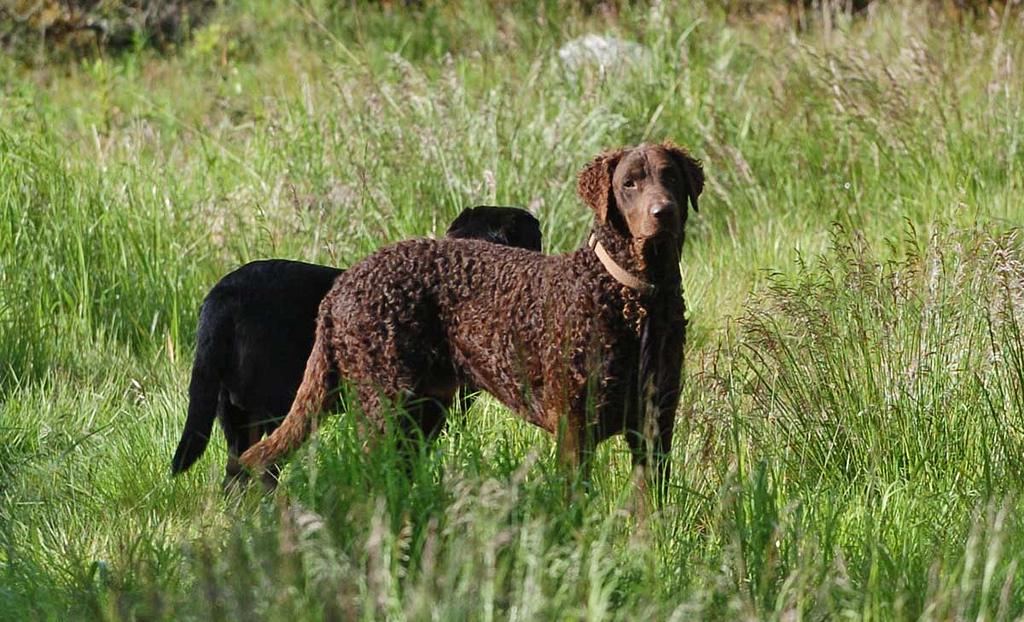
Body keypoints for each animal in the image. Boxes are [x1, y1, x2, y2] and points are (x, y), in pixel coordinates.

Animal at [171, 205, 540, 487]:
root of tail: (222, 294)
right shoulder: (432, 409)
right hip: (275, 407)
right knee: (263, 466)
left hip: (231, 412)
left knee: (236, 474)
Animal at [239, 142, 704, 502]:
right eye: (629, 183)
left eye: (671, 178)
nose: (663, 212)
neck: (633, 300)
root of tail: (340, 287)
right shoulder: (574, 427)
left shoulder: (655, 425)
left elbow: (650, 509)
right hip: (385, 405)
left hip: (422, 413)